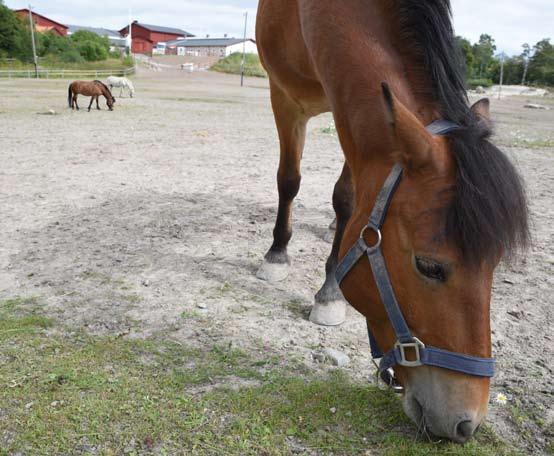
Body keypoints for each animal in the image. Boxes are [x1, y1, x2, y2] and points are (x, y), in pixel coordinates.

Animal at [254, 0, 528, 444]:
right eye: (429, 266)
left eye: (495, 266)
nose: (466, 423)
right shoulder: (285, 99)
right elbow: (289, 181)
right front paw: (277, 255)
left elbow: (347, 199)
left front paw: (329, 290)